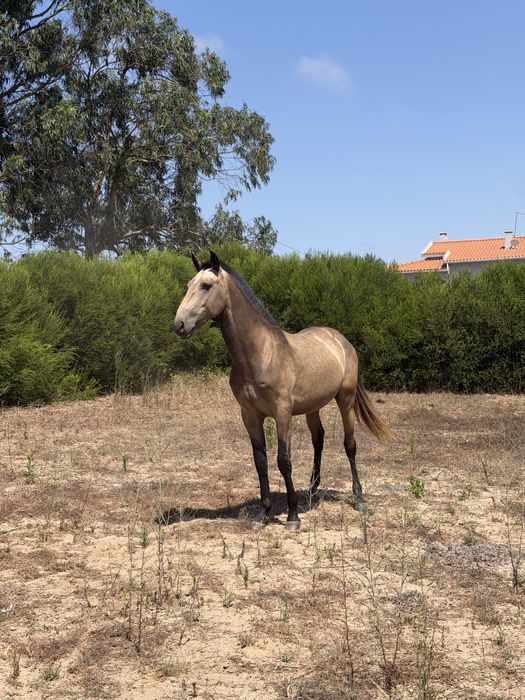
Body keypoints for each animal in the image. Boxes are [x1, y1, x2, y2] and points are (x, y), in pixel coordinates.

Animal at [174, 251, 390, 530]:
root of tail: (341, 340)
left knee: (349, 444)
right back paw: (311, 489)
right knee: (318, 439)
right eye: (189, 284)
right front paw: (263, 513)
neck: (261, 353)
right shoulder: (249, 415)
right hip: (312, 407)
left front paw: (292, 516)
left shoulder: (283, 413)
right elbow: (261, 461)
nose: (179, 324)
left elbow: (283, 460)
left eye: (206, 286)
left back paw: (359, 498)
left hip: (345, 399)